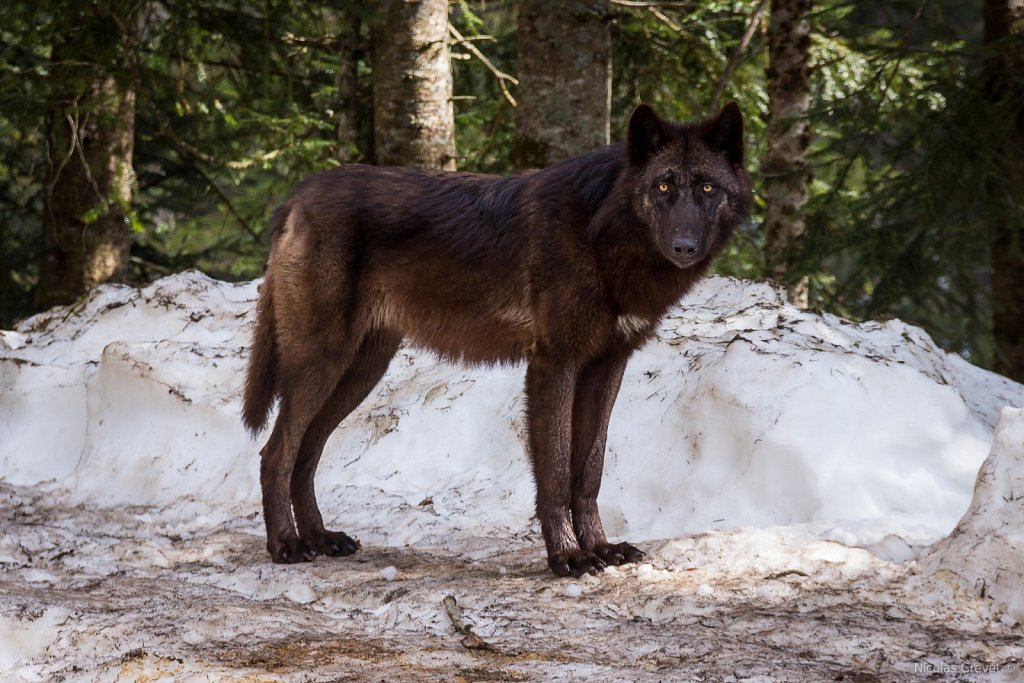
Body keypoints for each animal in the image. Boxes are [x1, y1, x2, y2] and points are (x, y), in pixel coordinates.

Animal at [240, 102, 753, 577]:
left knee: (305, 455)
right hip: (322, 365)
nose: (684, 246)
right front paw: (567, 555)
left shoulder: (607, 366)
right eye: (662, 187)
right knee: (275, 453)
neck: (602, 229)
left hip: (360, 374)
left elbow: (589, 472)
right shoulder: (553, 364)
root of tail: (299, 194)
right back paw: (287, 544)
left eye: (707, 188)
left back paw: (320, 538)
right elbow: (556, 473)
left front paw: (602, 548)